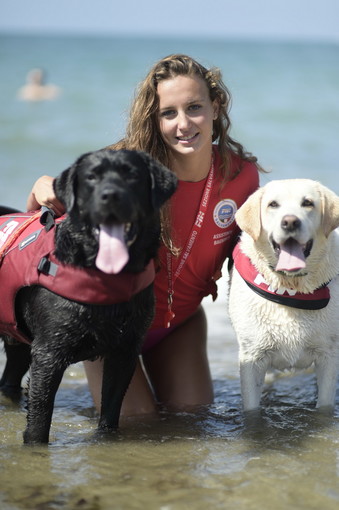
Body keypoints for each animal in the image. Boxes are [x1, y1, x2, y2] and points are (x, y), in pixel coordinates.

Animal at [0, 148, 177, 442]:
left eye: (132, 175)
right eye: (91, 177)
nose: (110, 195)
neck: (105, 274)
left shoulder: (125, 350)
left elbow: (111, 411)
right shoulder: (48, 353)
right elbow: (40, 416)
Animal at [230, 178, 339, 410]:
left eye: (307, 203)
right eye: (273, 205)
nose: (290, 222)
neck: (291, 286)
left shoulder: (328, 353)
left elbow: (324, 404)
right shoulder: (252, 357)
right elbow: (251, 408)